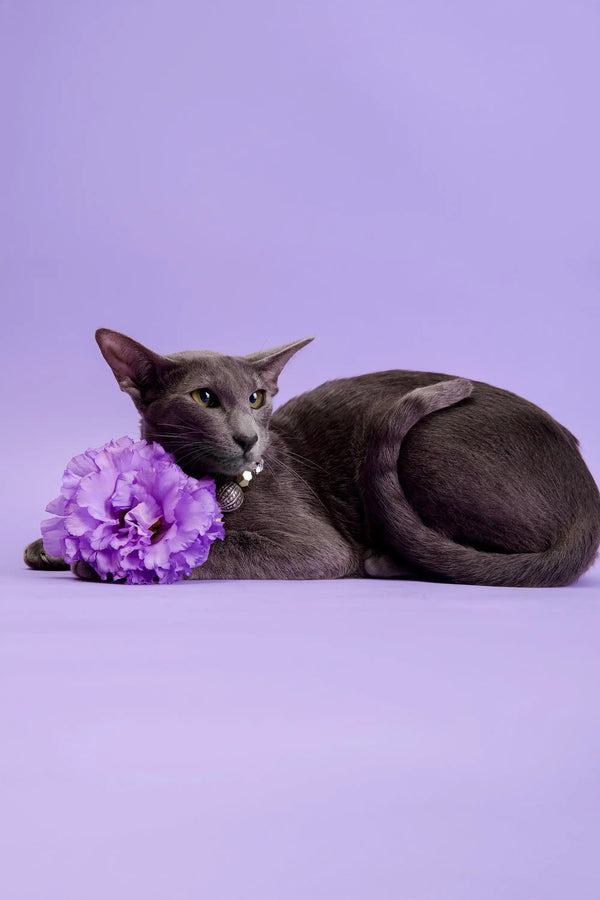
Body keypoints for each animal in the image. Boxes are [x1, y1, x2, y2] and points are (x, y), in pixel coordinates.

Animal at [23, 326, 600, 588]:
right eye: (204, 398)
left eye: (256, 398)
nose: (248, 437)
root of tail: (588, 498)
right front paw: (48, 549)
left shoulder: (314, 544)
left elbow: (215, 550)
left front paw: (95, 563)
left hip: (424, 447)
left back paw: (392, 561)